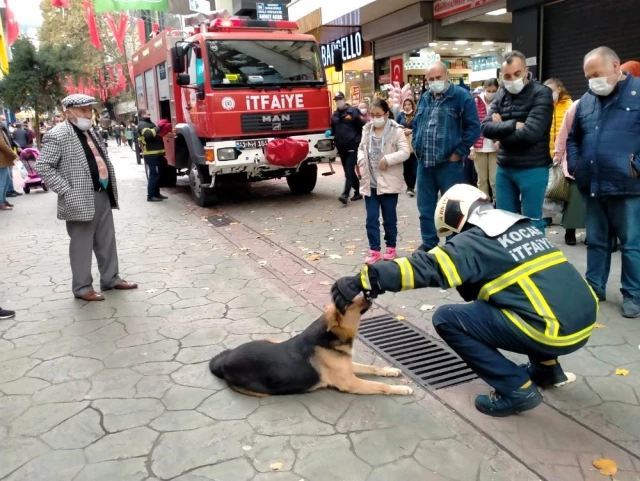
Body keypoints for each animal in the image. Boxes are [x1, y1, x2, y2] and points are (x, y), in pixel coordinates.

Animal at [208, 296, 412, 398]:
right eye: (349, 303)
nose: (370, 292)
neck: (330, 336)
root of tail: (224, 361)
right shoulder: (350, 382)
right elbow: (380, 386)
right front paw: (401, 389)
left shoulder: (348, 365)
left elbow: (372, 368)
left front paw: (390, 370)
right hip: (261, 392)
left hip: (271, 339)